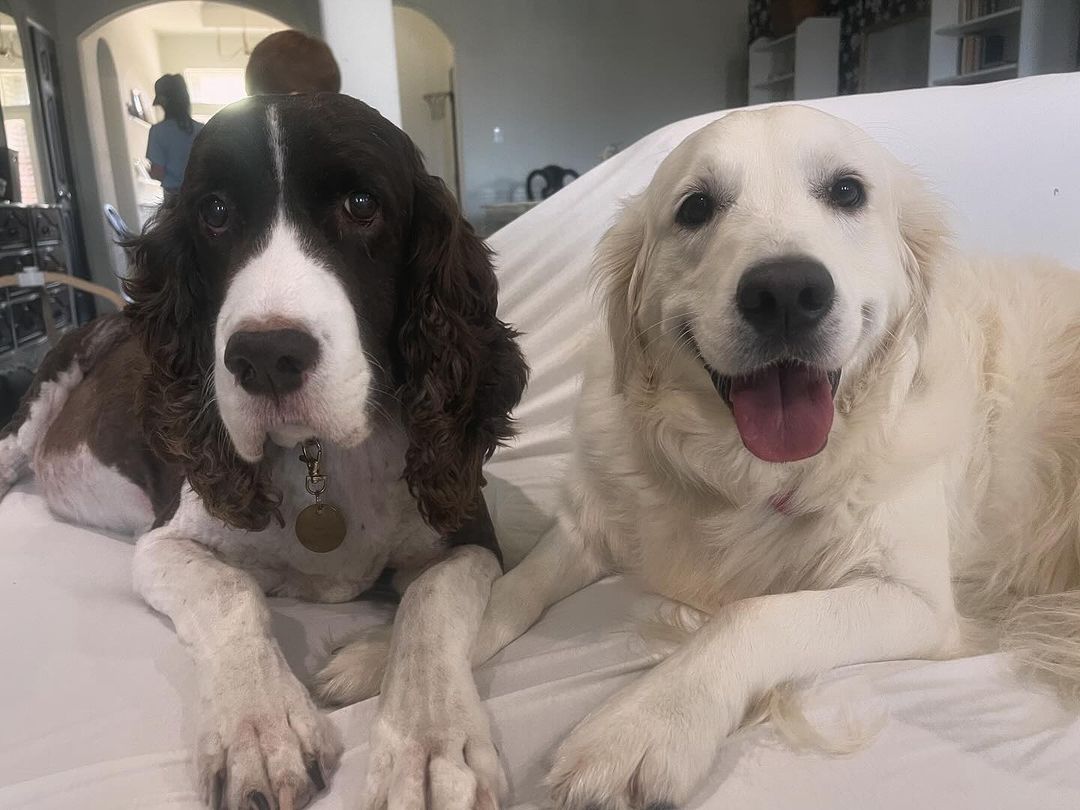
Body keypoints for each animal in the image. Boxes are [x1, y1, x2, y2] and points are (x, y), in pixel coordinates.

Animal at [0, 93, 527, 810]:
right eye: (216, 212)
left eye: (361, 203)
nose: (266, 357)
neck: (322, 457)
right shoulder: (163, 543)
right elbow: (232, 588)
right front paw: (260, 727)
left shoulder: (469, 532)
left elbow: (431, 597)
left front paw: (429, 746)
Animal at [328, 104, 1080, 807]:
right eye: (695, 207)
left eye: (847, 191)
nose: (786, 292)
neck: (741, 471)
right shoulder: (590, 525)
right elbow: (509, 590)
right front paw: (389, 659)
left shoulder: (913, 599)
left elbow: (754, 615)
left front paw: (644, 725)